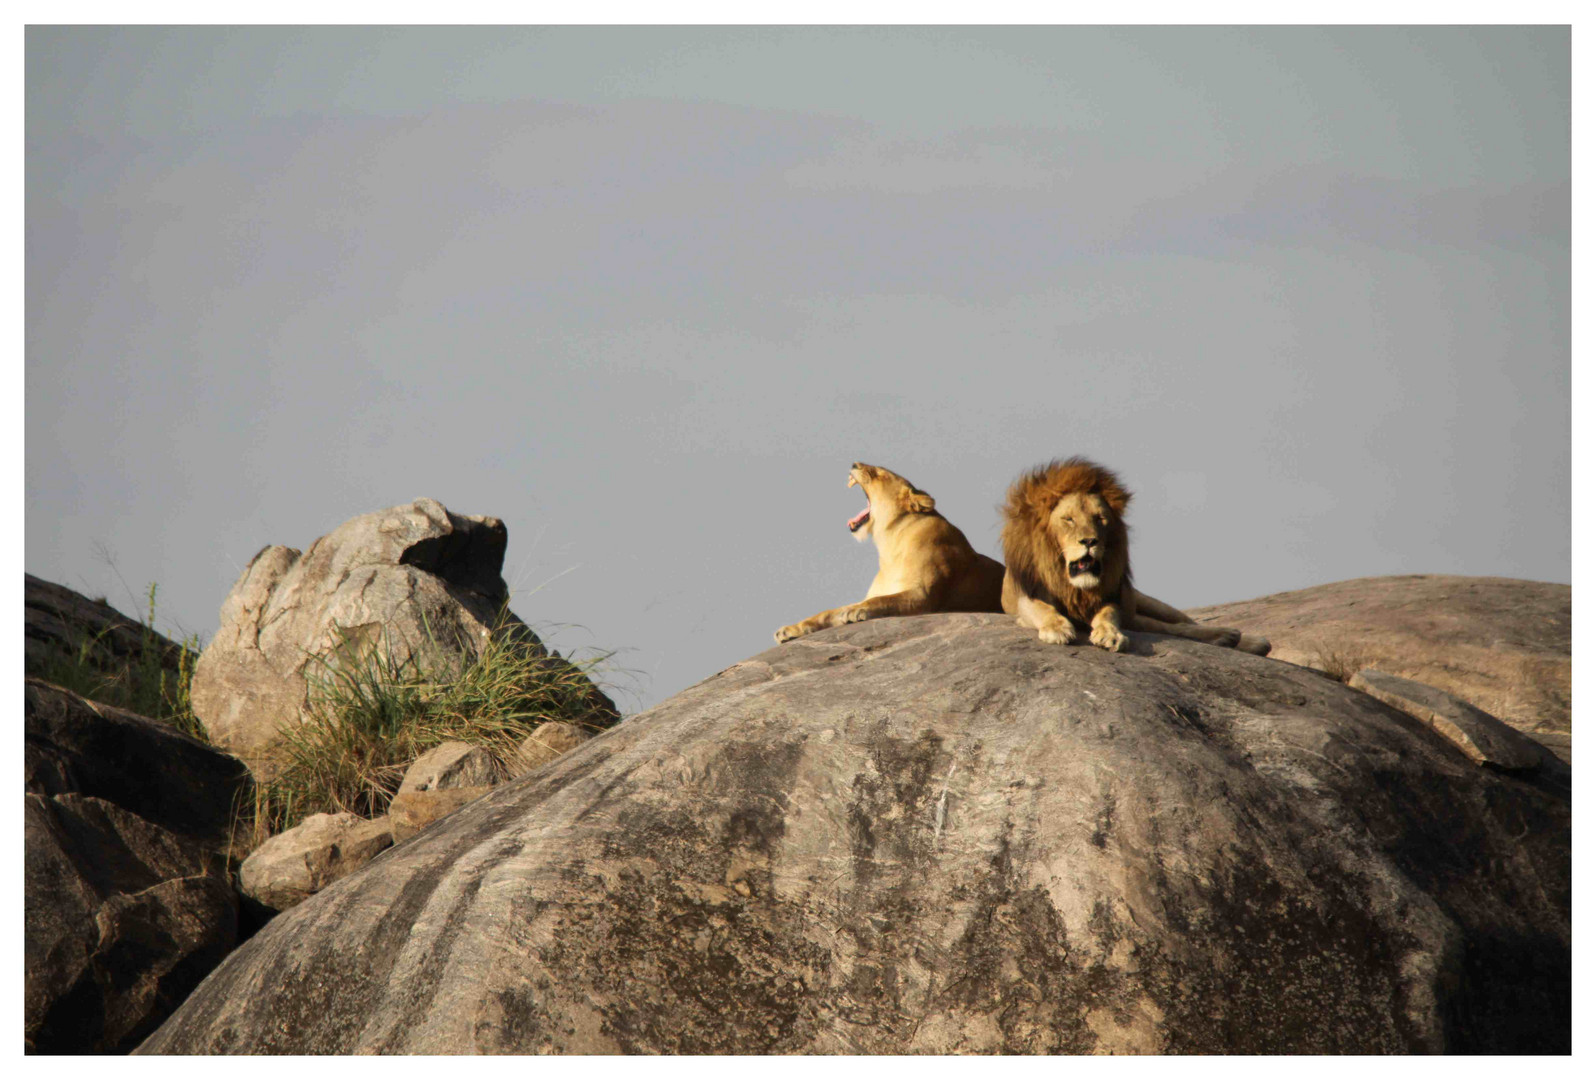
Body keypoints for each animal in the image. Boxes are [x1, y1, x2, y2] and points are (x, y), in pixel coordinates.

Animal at [778, 462, 1002, 644]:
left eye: (880, 474)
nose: (854, 463)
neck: (889, 543)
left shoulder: (923, 595)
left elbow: (883, 601)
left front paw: (857, 611)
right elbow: (828, 612)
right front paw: (791, 629)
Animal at [995, 456, 1270, 657]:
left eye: (1100, 518)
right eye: (1069, 519)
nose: (1090, 541)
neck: (1074, 586)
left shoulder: (1113, 597)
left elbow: (1108, 614)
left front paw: (1110, 635)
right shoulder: (1025, 597)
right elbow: (1043, 609)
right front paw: (1057, 629)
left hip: (1144, 602)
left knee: (1181, 623)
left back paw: (1243, 638)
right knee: (1168, 627)